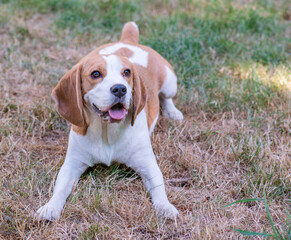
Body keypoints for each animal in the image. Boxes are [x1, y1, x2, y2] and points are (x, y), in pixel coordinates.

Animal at [36, 21, 182, 220]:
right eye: (95, 74)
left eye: (127, 72)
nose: (120, 89)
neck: (106, 130)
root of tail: (128, 41)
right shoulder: (72, 165)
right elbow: (59, 188)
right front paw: (50, 207)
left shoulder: (148, 165)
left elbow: (159, 187)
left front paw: (165, 206)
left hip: (169, 83)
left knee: (167, 98)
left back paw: (173, 112)